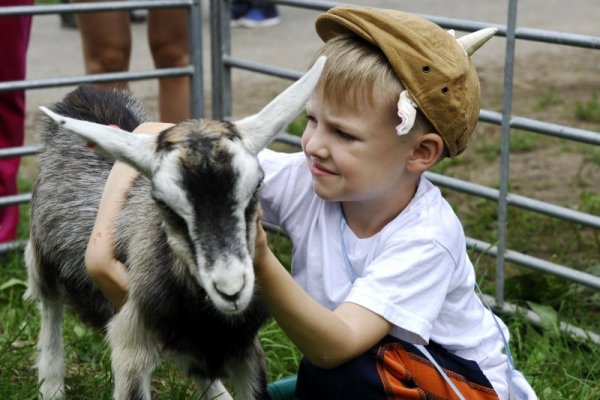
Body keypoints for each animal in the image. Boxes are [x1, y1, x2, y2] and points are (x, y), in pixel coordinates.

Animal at [25, 56, 328, 400]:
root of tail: (85, 94)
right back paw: (51, 385)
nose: (231, 290)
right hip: (41, 253)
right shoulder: (131, 343)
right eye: (163, 202)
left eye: (257, 186)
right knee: (50, 304)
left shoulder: (245, 351)